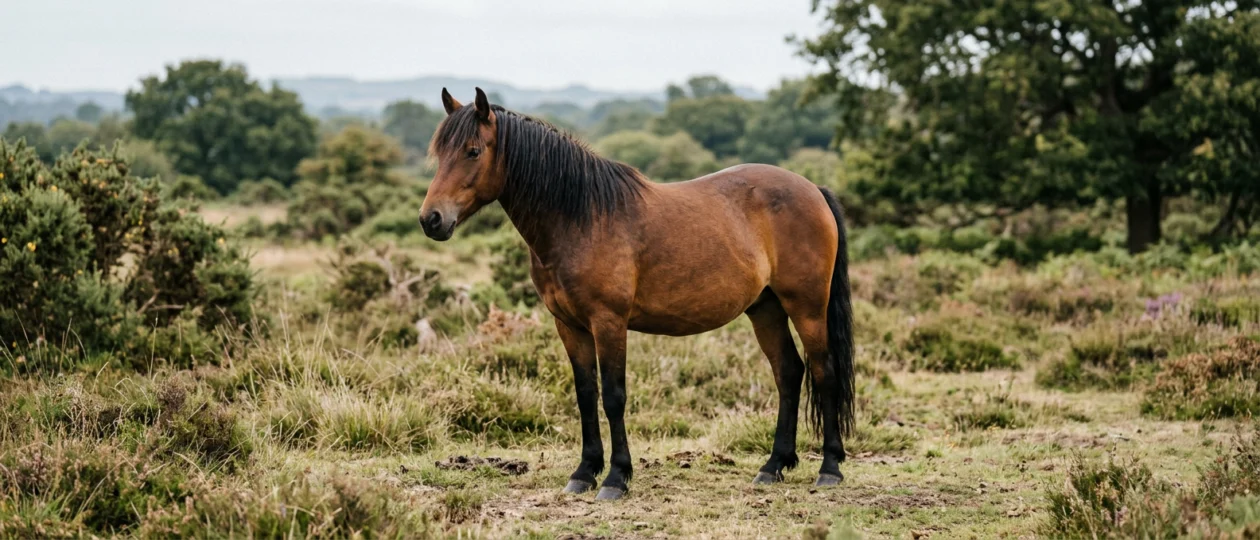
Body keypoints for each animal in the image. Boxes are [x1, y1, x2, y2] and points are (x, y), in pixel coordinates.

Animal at [419, 88, 855, 501]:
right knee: (789, 372)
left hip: (807, 307)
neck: (580, 218)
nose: (431, 219)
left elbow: (613, 396)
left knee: (824, 371)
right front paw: (584, 473)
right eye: (439, 152)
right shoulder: (569, 326)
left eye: (473, 151)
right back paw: (773, 465)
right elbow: (585, 394)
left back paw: (829, 469)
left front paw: (616, 478)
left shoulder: (609, 322)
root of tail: (813, 189)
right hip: (765, 309)